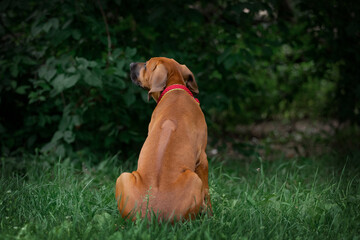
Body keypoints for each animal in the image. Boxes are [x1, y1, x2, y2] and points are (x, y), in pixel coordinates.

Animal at [114, 56, 211, 221]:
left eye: (145, 65)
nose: (131, 64)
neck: (175, 89)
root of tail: (155, 216)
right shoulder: (203, 159)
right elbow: (207, 191)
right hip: (193, 179)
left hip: (123, 177)